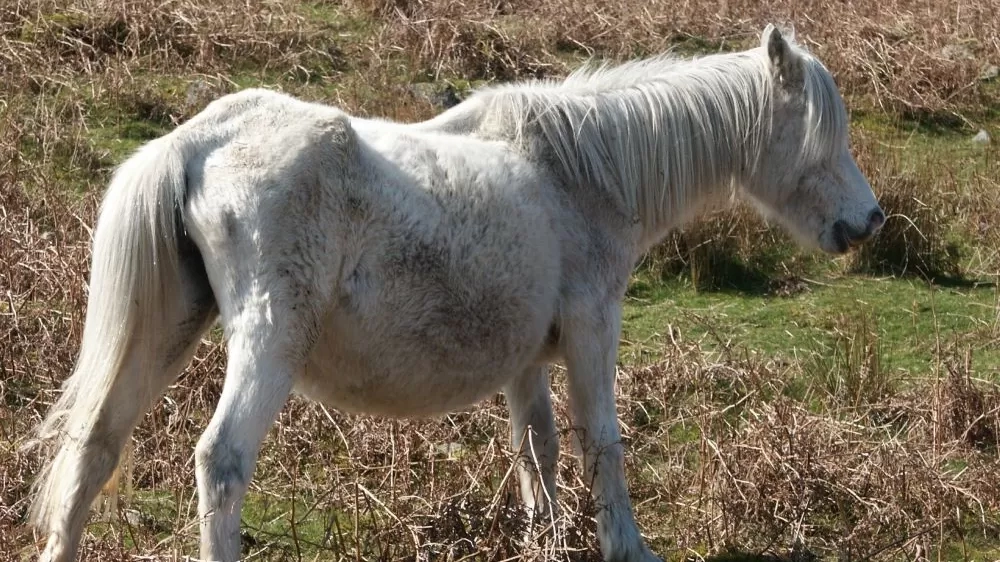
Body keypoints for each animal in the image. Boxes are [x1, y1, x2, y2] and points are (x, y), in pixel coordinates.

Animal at [25, 26, 884, 560]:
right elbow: (602, 443)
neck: (579, 170)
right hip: (267, 343)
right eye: (824, 135)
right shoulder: (592, 327)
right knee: (222, 461)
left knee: (95, 445)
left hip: (167, 331)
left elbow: (537, 450)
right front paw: (625, 545)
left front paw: (547, 541)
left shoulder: (527, 358)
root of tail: (197, 142)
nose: (868, 221)